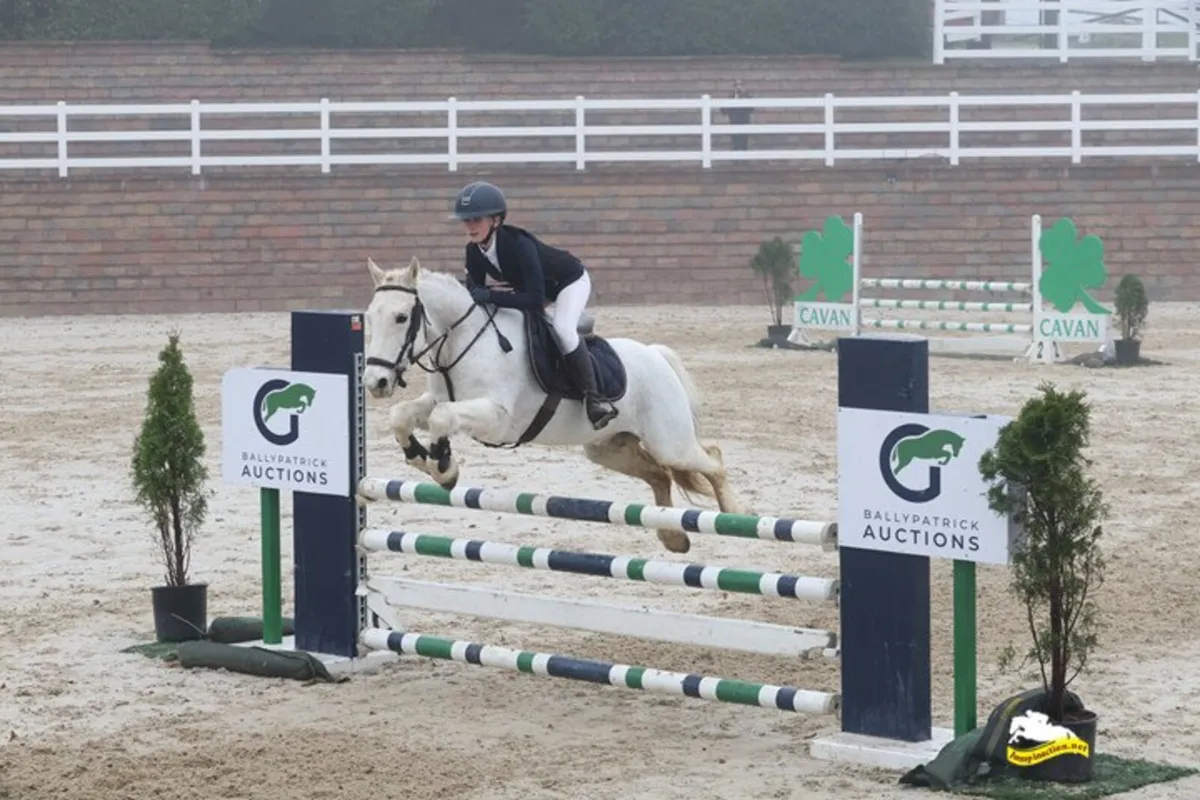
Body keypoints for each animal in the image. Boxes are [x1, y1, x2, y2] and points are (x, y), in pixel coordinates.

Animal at [359, 256, 744, 554]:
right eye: (369, 316)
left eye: (401, 317)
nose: (375, 382)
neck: (462, 340)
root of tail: (655, 354)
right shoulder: (439, 401)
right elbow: (402, 416)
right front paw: (421, 458)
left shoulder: (499, 418)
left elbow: (442, 419)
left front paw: (444, 468)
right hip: (607, 448)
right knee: (660, 475)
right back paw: (673, 537)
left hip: (670, 442)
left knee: (712, 460)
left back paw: (737, 516)